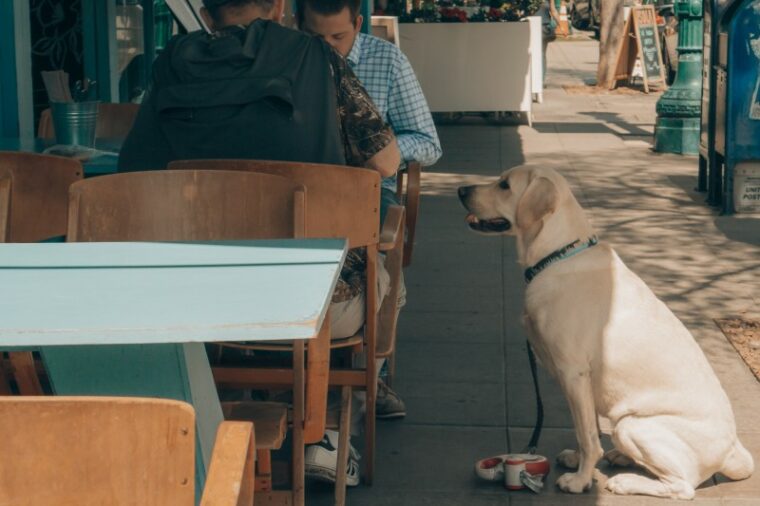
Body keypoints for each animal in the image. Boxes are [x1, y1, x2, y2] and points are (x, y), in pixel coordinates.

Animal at [458, 166, 756, 498]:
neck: (557, 255)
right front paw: (577, 462)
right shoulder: (576, 384)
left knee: (682, 486)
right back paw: (620, 457)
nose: (460, 190)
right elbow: (582, 427)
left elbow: (588, 436)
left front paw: (579, 480)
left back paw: (625, 481)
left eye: (505, 185)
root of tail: (732, 451)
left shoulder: (573, 372)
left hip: (630, 425)